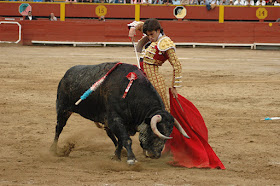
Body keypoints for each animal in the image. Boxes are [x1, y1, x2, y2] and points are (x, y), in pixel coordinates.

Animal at [51, 62, 189, 164]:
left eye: (169, 134)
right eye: (155, 133)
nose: (155, 155)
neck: (131, 94)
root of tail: (66, 75)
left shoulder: (121, 122)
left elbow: (122, 139)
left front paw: (116, 156)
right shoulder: (115, 119)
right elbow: (126, 139)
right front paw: (131, 159)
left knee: (110, 134)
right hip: (63, 109)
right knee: (59, 128)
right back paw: (54, 150)